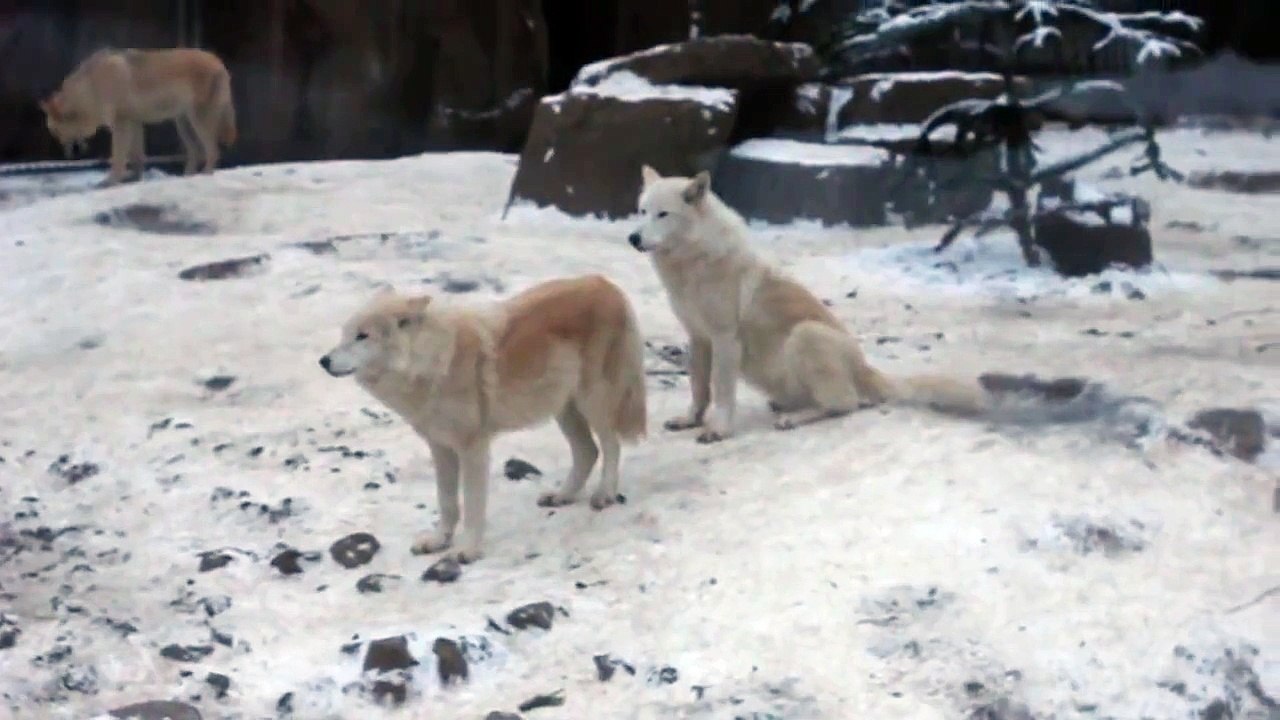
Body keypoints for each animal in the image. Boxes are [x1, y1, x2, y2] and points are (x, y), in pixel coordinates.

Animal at [39, 47, 237, 185]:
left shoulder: (121, 125)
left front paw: (112, 182)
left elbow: (118, 158)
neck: (90, 88)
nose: (67, 156)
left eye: (55, 132)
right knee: (197, 152)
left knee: (212, 151)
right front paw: (134, 180)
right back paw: (187, 178)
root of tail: (219, 62)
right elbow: (137, 157)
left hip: (198, 122)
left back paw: (206, 174)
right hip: (183, 124)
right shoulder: (134, 123)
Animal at [318, 276, 648, 563]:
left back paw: (605, 495)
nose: (323, 361)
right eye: (345, 334)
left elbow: (473, 506)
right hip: (564, 410)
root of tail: (606, 284)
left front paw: (468, 551)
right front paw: (439, 541)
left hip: (593, 402)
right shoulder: (441, 448)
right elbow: (447, 502)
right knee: (587, 451)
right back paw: (562, 496)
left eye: (362, 336)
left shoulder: (472, 448)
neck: (434, 364)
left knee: (611, 444)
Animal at [628, 165, 987, 443]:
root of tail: (867, 369)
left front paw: (718, 430)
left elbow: (722, 391)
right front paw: (690, 420)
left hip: (806, 334)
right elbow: (699, 389)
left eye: (663, 214)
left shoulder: (725, 339)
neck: (695, 263)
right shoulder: (698, 338)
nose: (633, 238)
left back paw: (794, 418)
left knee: (846, 404)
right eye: (642, 211)